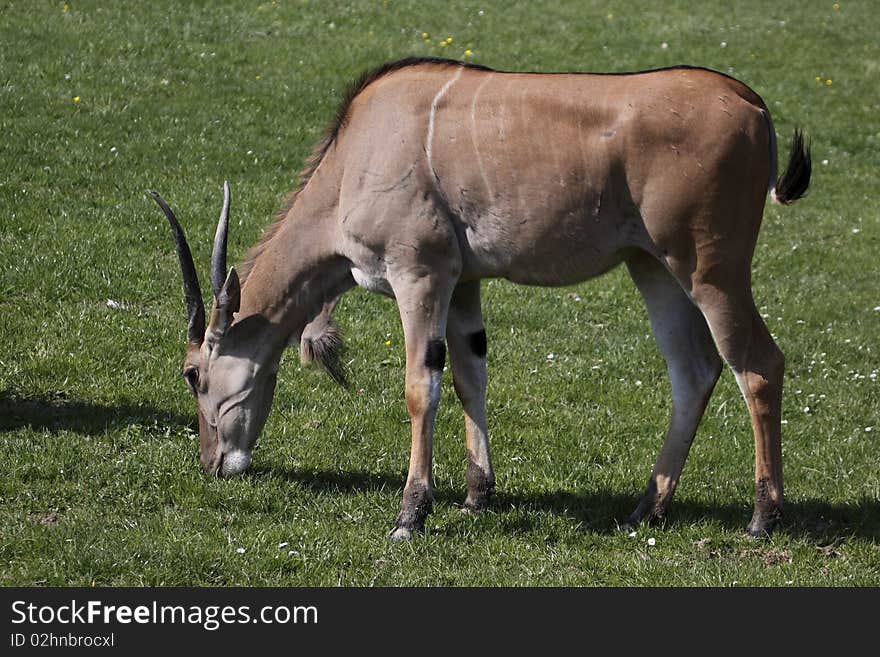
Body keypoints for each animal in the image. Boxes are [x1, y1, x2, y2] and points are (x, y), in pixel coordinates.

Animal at [150, 55, 812, 540]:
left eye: (192, 374)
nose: (212, 463)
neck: (356, 156)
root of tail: (750, 102)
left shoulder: (420, 275)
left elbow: (422, 387)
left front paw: (411, 514)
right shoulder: (463, 284)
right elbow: (471, 377)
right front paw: (475, 497)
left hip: (710, 271)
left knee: (758, 365)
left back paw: (761, 518)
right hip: (651, 268)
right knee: (692, 371)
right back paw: (646, 508)